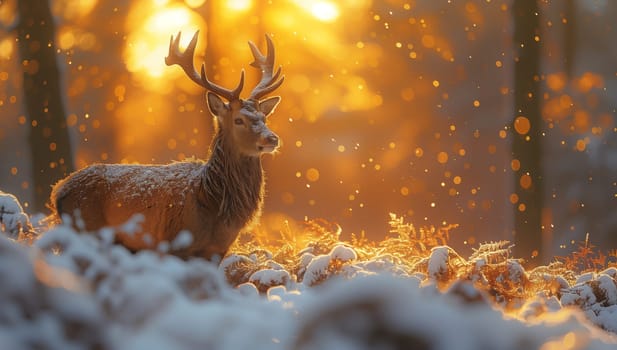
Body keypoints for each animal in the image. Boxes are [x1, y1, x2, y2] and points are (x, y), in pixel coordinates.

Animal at [49, 31, 286, 260]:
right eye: (238, 120)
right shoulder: (174, 242)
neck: (211, 203)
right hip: (87, 230)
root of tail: (58, 192)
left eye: (263, 118)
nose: (272, 138)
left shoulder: (218, 250)